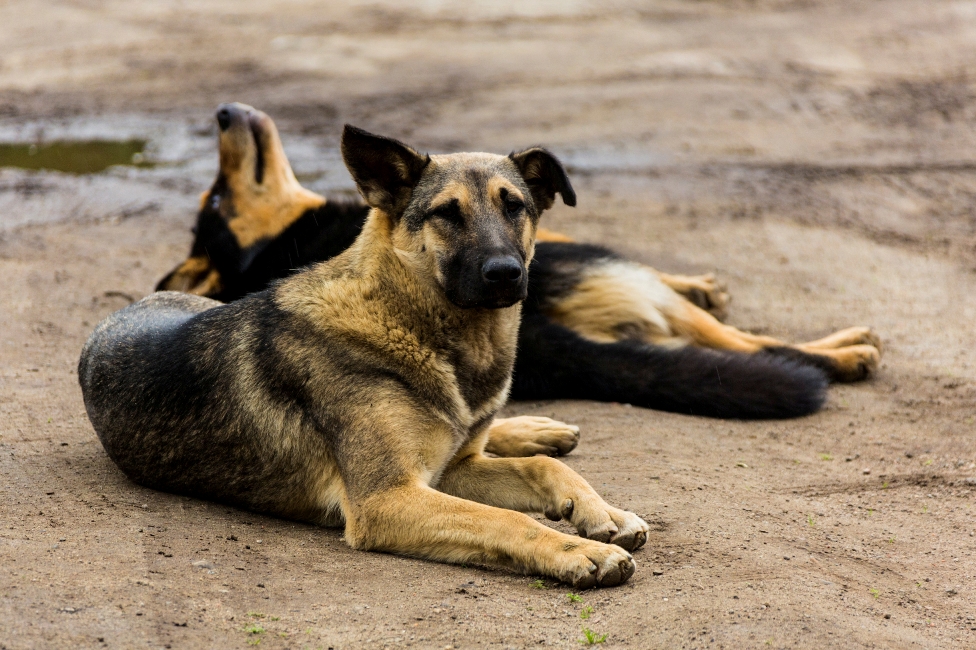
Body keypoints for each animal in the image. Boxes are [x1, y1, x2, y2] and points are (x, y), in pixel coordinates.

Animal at [156, 101, 880, 416]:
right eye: (217, 195)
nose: (222, 111)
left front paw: (702, 280)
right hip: (613, 278)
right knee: (747, 344)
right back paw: (844, 352)